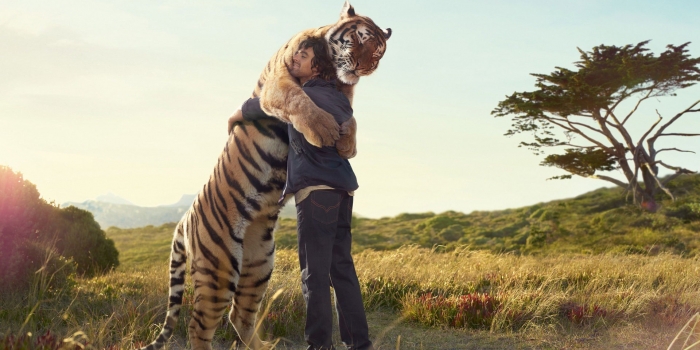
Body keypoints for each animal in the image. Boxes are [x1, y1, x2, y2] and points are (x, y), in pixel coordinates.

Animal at [139, 2, 392, 350]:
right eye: (359, 40)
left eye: (378, 54)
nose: (362, 69)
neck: (330, 70)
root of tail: (184, 219)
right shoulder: (280, 83)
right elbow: (300, 101)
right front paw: (325, 131)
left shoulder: (346, 95)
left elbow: (351, 118)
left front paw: (346, 143)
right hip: (219, 270)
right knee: (198, 326)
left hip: (258, 265)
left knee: (239, 316)